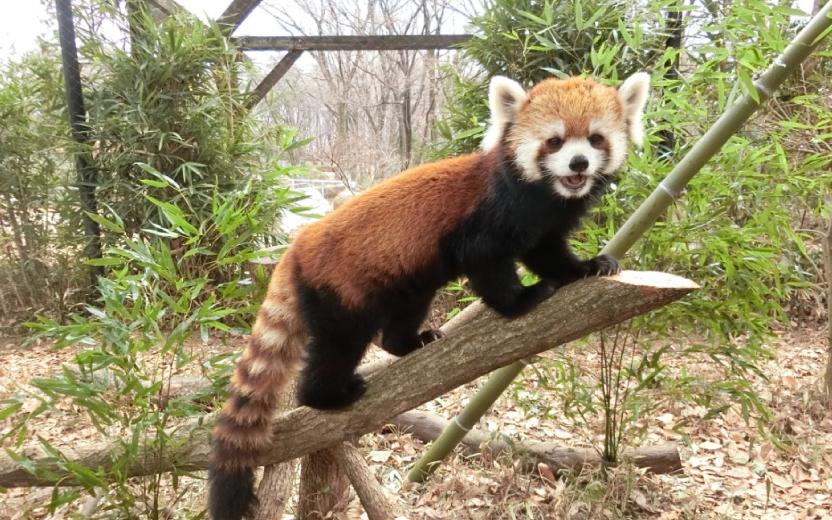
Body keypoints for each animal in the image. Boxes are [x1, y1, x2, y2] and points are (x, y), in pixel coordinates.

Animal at [208, 73, 648, 520]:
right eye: (554, 142)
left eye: (595, 139)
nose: (578, 164)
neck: (545, 198)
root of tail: (294, 250)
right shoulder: (487, 218)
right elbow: (487, 263)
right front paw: (523, 299)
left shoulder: (545, 224)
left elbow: (548, 254)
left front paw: (588, 266)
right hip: (339, 292)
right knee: (339, 344)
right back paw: (330, 393)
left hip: (406, 285)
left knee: (401, 317)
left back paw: (410, 342)